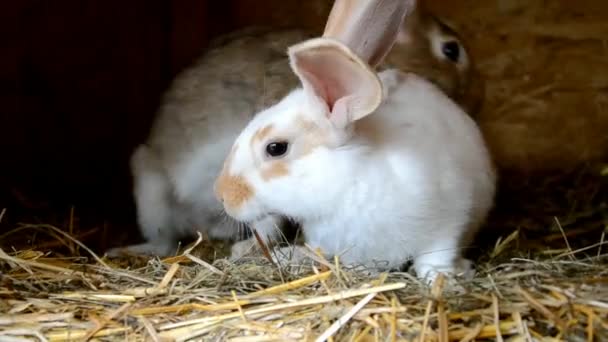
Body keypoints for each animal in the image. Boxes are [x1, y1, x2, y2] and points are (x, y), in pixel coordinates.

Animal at [214, 2, 494, 282]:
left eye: (276, 148)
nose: (222, 196)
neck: (344, 189)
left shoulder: (449, 218)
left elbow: (435, 257)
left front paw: (444, 279)